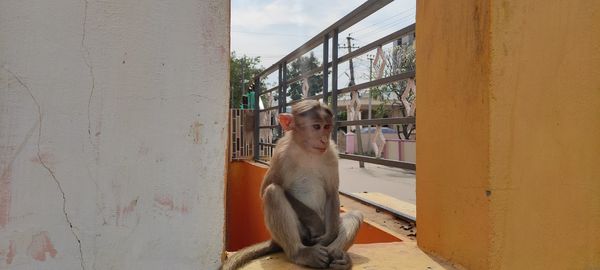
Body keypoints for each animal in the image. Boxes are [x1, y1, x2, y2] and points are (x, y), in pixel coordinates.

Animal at [224, 100, 366, 268]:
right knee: (273, 193)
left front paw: (329, 236)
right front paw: (315, 223)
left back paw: (338, 255)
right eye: (316, 127)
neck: (306, 150)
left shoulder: (331, 153)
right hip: (297, 235)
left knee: (355, 214)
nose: (324, 139)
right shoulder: (281, 154)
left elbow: (332, 192)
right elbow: (266, 188)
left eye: (327, 127)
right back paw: (301, 253)